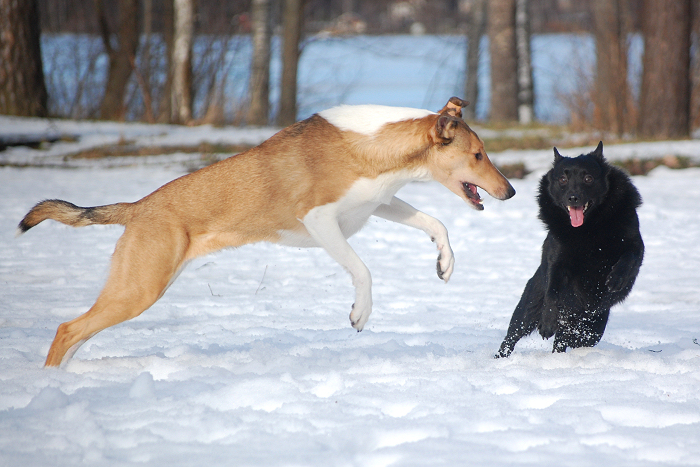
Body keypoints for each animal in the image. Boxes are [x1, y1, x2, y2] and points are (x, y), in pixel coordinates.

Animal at [16, 97, 516, 368]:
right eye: (477, 155)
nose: (510, 191)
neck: (376, 149)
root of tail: (137, 208)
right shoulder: (321, 222)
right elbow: (364, 271)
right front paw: (360, 314)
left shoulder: (377, 205)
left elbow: (436, 222)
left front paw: (445, 263)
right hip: (140, 288)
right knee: (66, 329)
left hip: (138, 287)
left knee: (78, 333)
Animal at [498, 143, 644, 358]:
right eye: (563, 179)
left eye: (588, 178)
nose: (573, 197)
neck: (588, 228)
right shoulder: (557, 261)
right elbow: (553, 290)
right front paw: (548, 323)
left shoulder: (635, 243)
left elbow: (630, 257)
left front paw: (616, 279)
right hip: (527, 310)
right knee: (511, 337)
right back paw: (500, 358)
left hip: (593, 329)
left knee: (566, 341)